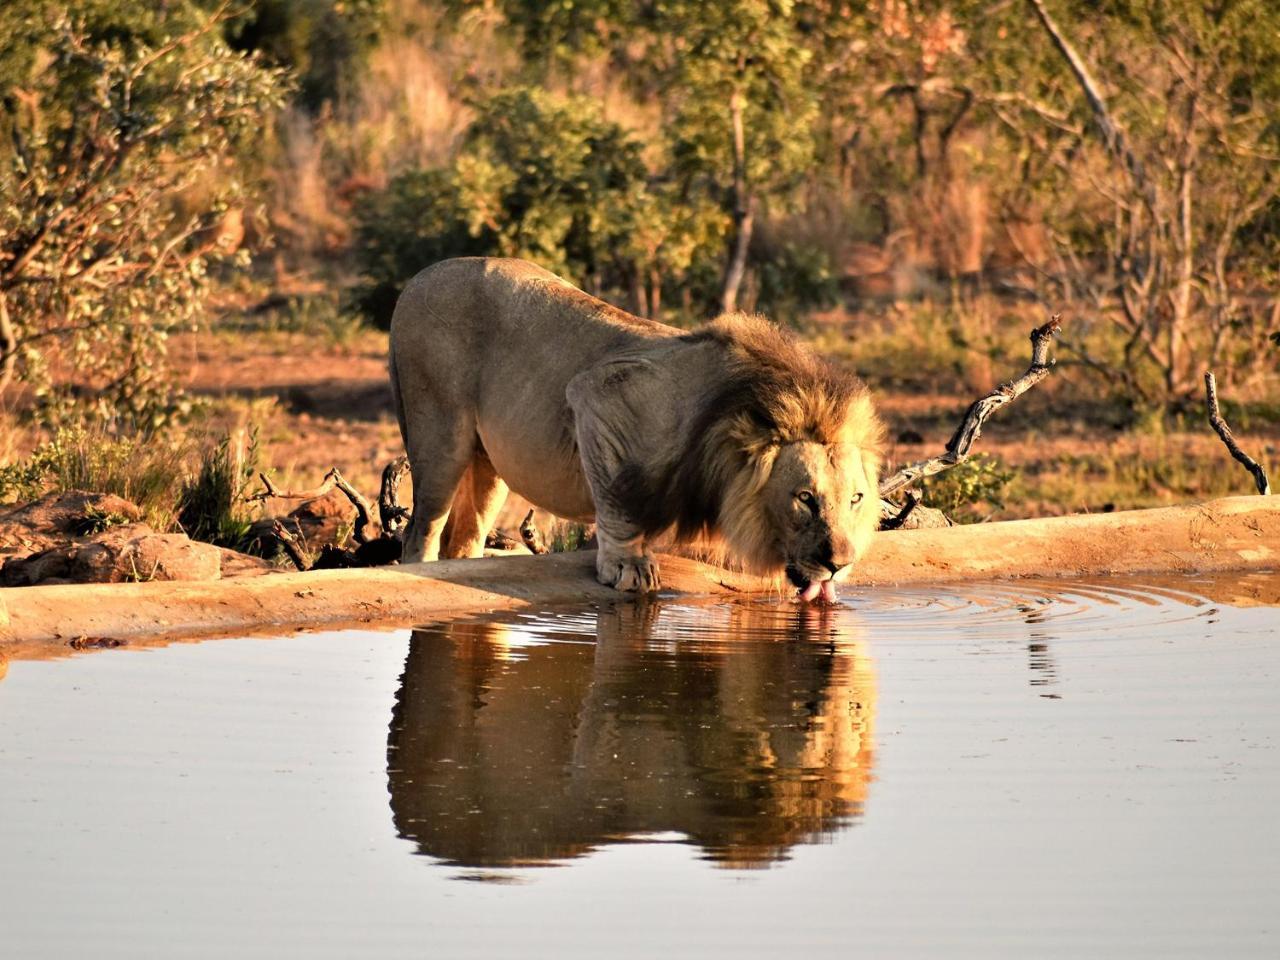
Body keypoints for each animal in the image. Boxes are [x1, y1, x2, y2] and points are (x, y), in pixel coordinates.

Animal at [389, 256, 885, 601]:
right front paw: (629, 567)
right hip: (440, 437)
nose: (840, 564)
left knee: (464, 539)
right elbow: (619, 501)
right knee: (420, 535)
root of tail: (417, 279)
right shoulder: (596, 395)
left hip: (488, 466)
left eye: (856, 499)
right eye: (805, 498)